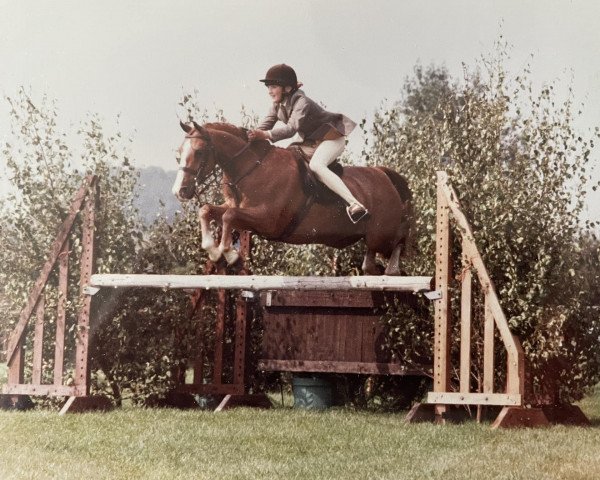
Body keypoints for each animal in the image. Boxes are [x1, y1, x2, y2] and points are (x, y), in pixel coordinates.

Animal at [171, 122, 414, 276]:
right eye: (179, 152)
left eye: (200, 152)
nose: (180, 191)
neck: (251, 168)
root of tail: (383, 174)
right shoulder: (239, 208)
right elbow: (208, 210)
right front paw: (213, 250)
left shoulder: (268, 220)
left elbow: (229, 216)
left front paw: (229, 254)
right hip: (372, 238)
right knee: (370, 265)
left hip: (382, 234)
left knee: (400, 238)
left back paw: (392, 267)